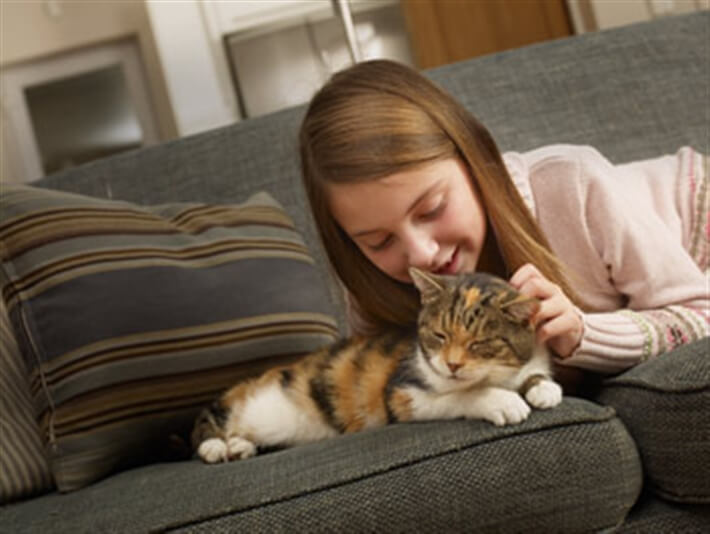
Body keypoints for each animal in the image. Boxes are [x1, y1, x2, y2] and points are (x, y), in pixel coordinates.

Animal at [192, 268, 564, 464]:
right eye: (440, 335)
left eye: (479, 343)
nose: (453, 365)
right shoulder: (402, 392)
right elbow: (462, 396)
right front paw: (502, 401)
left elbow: (533, 372)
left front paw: (543, 388)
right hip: (246, 406)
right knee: (208, 421)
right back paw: (216, 446)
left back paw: (239, 447)